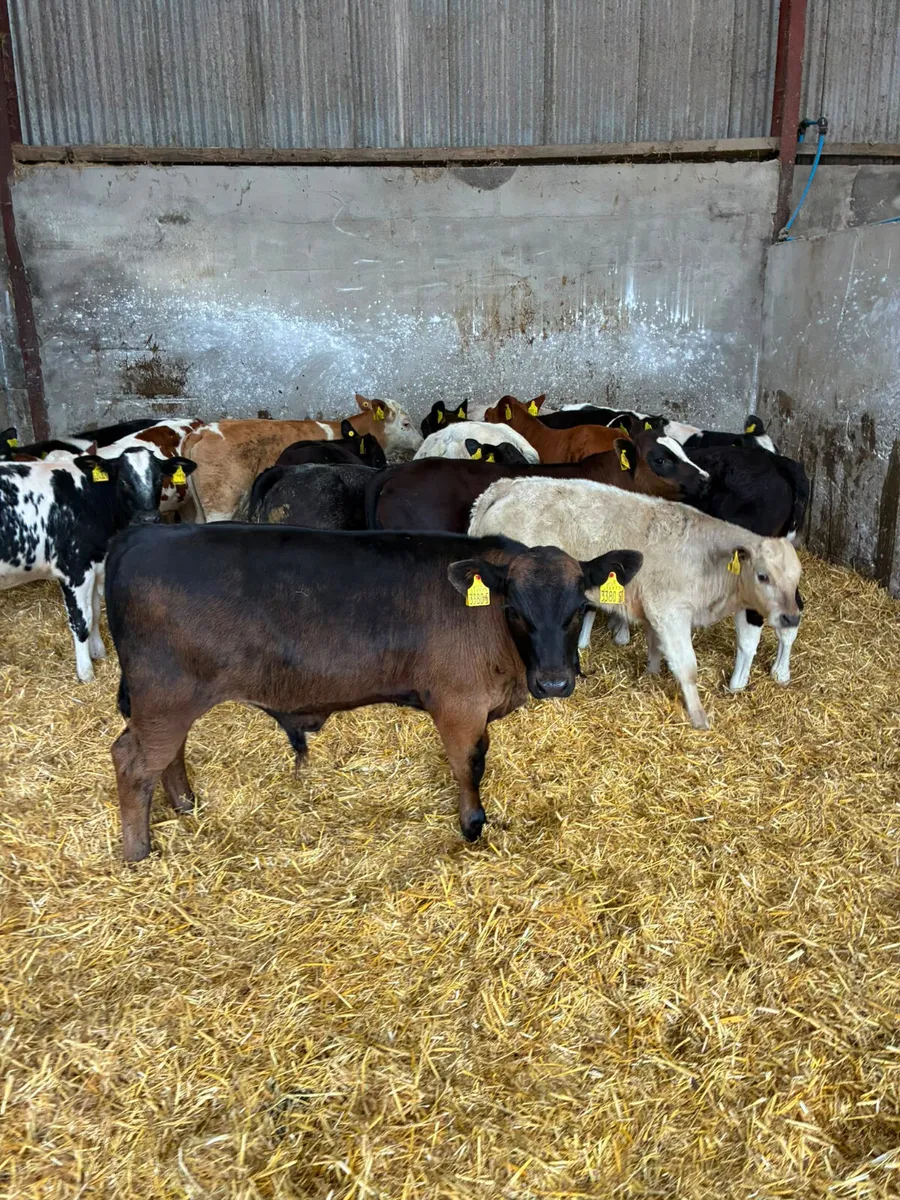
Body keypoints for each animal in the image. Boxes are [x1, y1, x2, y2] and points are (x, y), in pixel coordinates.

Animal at [0, 448, 197, 681]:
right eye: (123, 481)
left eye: (159, 478)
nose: (149, 518)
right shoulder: (74, 569)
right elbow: (81, 621)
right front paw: (85, 672)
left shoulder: (94, 566)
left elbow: (94, 611)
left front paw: (98, 652)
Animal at [104, 523, 643, 859]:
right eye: (514, 609)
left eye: (579, 608)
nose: (554, 681)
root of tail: (142, 533)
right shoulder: (459, 705)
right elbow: (470, 765)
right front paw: (472, 825)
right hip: (165, 695)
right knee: (131, 760)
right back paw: (138, 852)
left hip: (168, 702)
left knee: (166, 754)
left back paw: (185, 805)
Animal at [468, 478, 802, 730]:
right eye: (763, 576)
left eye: (797, 578)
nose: (791, 618)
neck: (708, 559)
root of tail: (505, 486)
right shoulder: (670, 611)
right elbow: (687, 667)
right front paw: (699, 718)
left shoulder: (653, 607)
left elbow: (654, 644)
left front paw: (651, 674)